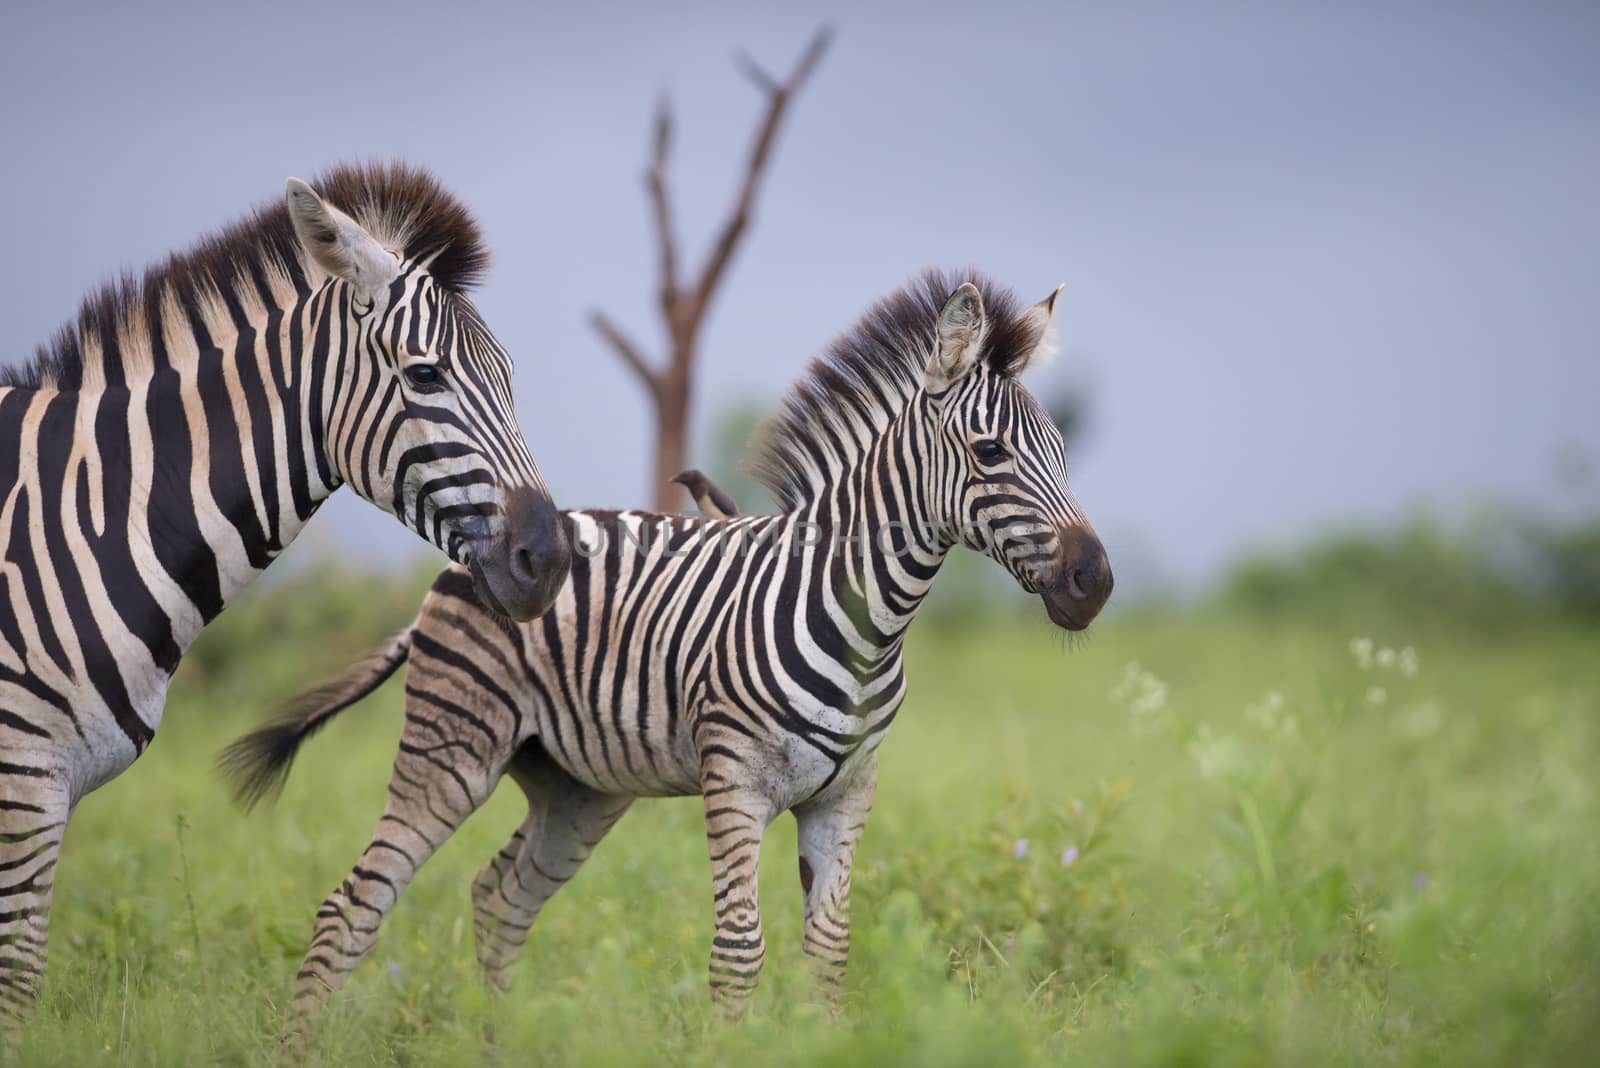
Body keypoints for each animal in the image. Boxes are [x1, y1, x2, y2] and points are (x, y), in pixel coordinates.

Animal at [0, 163, 576, 1023]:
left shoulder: (51, 788)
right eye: (426, 374)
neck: (84, 516)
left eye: (508, 380)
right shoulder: (25, 777)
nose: (551, 560)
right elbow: (18, 977)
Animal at [225, 271, 1113, 1048]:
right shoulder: (736, 784)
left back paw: (496, 1046)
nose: (1096, 582)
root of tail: (462, 563)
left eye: (1063, 449)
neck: (864, 620)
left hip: (577, 789)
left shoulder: (846, 796)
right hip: (452, 754)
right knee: (352, 906)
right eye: (991, 453)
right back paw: (298, 1048)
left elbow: (828, 953)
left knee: (499, 897)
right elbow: (739, 954)